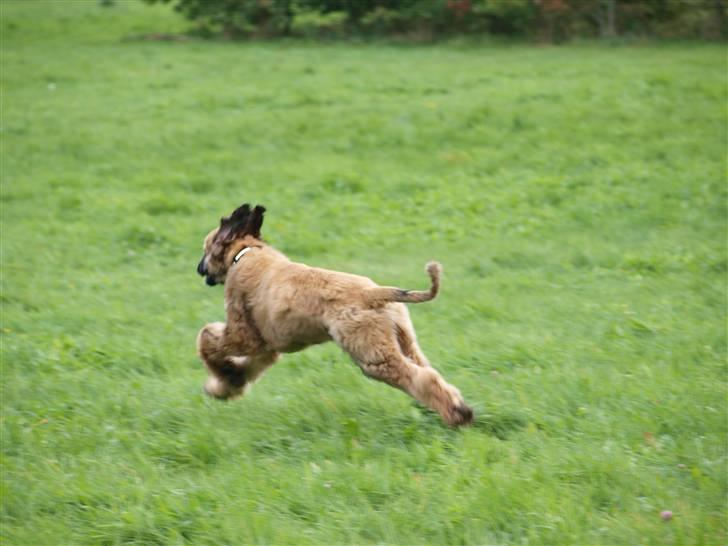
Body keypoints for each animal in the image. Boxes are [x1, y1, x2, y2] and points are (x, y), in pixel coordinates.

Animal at [196, 203, 474, 424]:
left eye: (205, 249)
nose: (199, 269)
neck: (244, 254)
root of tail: (374, 293)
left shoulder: (245, 335)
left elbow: (207, 338)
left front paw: (223, 377)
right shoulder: (267, 346)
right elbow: (247, 367)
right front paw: (227, 385)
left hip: (372, 353)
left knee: (421, 378)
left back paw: (458, 415)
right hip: (403, 339)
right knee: (429, 372)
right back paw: (453, 406)